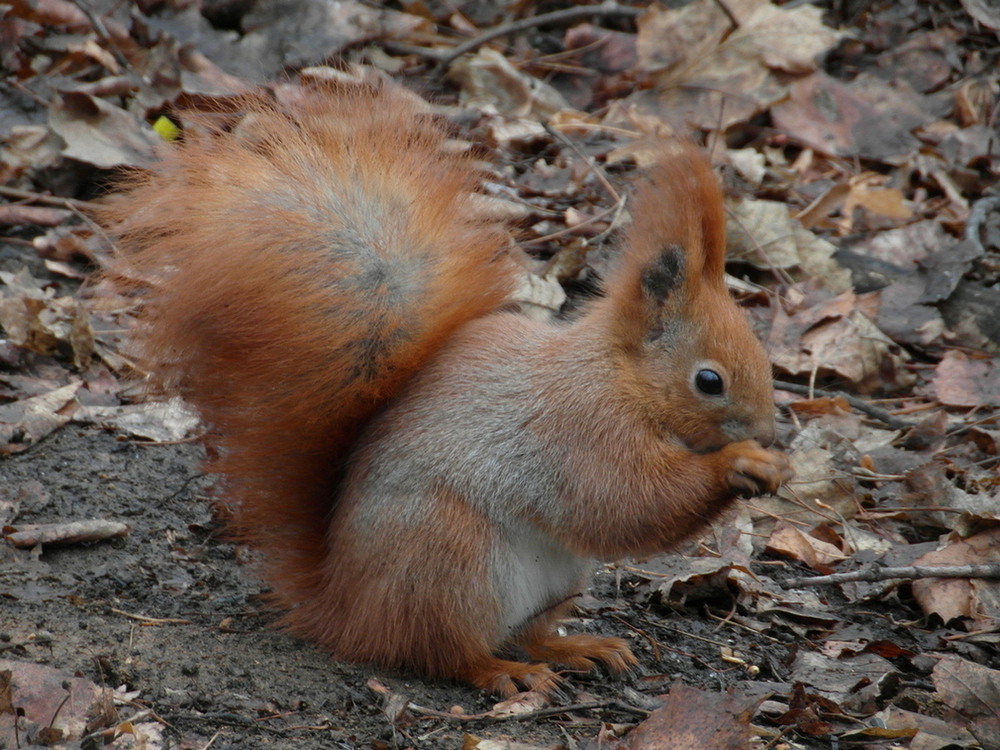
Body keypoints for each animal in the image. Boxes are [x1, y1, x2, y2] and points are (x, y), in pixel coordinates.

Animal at [105, 83, 792, 700]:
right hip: (449, 560)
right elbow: (625, 502)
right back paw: (504, 673)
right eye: (709, 381)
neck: (616, 379)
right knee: (446, 651)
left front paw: (774, 465)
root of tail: (345, 606)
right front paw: (741, 464)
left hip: (555, 576)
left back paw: (576, 646)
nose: (767, 432)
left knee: (525, 631)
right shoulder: (579, 431)